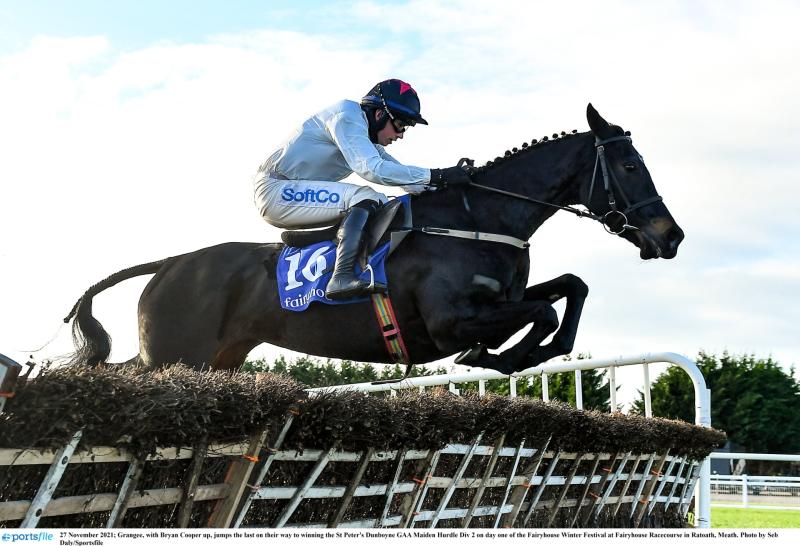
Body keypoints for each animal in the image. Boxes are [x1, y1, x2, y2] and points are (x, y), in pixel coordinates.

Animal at [65, 104, 684, 375]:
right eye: (630, 165)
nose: (671, 235)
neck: (478, 216)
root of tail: (171, 263)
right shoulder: (449, 321)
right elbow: (543, 313)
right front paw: (509, 354)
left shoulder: (500, 299)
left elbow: (570, 289)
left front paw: (529, 352)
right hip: (171, 354)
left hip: (216, 359)